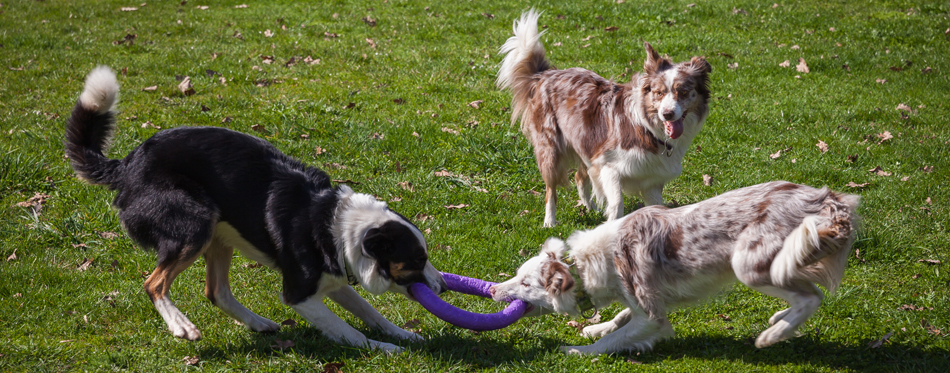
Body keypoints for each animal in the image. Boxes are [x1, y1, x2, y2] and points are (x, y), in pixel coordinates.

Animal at [67, 67, 446, 352]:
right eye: (417, 259)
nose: (442, 287)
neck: (334, 226)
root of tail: (125, 165)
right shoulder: (299, 295)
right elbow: (347, 329)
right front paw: (384, 348)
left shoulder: (334, 279)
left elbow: (370, 311)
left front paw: (402, 334)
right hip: (195, 223)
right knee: (154, 283)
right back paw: (181, 326)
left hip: (219, 235)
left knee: (216, 292)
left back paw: (259, 323)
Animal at [490, 182, 864, 354]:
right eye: (517, 276)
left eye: (526, 283)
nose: (493, 289)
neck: (584, 265)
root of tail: (827, 199)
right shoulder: (644, 298)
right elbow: (621, 318)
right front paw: (597, 327)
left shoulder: (653, 315)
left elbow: (616, 338)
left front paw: (578, 351)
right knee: (805, 294)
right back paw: (779, 320)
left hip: (749, 264)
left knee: (812, 296)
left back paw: (772, 335)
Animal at [498, 10, 712, 227]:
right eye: (659, 93)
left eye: (683, 92)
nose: (667, 114)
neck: (647, 127)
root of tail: (546, 74)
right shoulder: (607, 165)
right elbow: (617, 204)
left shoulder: (651, 178)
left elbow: (655, 208)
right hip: (550, 150)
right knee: (551, 190)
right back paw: (550, 222)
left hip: (584, 142)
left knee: (579, 177)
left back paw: (591, 208)